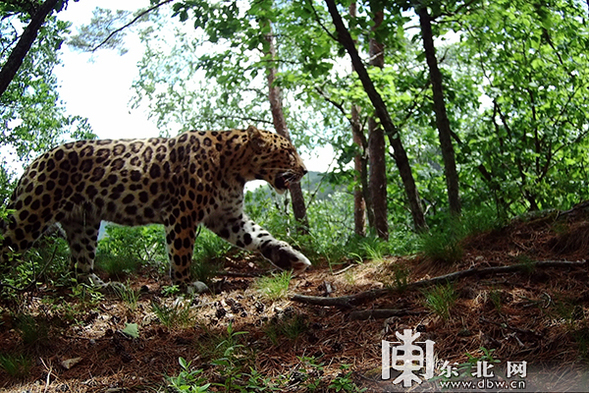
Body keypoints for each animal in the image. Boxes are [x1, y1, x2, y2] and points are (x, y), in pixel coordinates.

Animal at [0, 125, 312, 290]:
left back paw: (103, 286)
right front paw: (186, 286)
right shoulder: (183, 214)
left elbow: (259, 235)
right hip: (29, 216)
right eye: (288, 152)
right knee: (8, 245)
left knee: (80, 267)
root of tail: (35, 162)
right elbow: (181, 252)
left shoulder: (228, 217)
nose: (306, 170)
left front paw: (290, 256)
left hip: (84, 224)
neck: (236, 167)